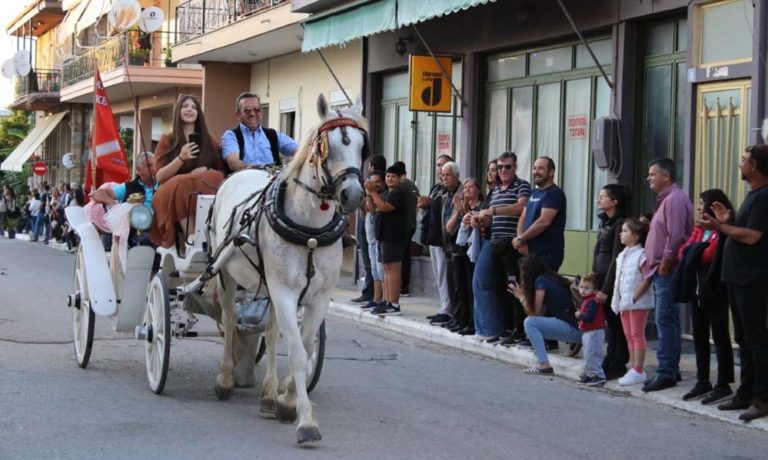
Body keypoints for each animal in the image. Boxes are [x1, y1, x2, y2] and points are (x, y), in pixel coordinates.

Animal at [207, 95, 368, 444]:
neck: (310, 231)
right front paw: (306, 421)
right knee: (229, 320)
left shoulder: (317, 298)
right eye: (327, 144)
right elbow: (295, 352)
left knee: (269, 333)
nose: (353, 195)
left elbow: (304, 348)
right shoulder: (284, 292)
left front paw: (287, 400)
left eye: (362, 145)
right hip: (226, 274)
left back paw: (268, 394)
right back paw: (225, 379)